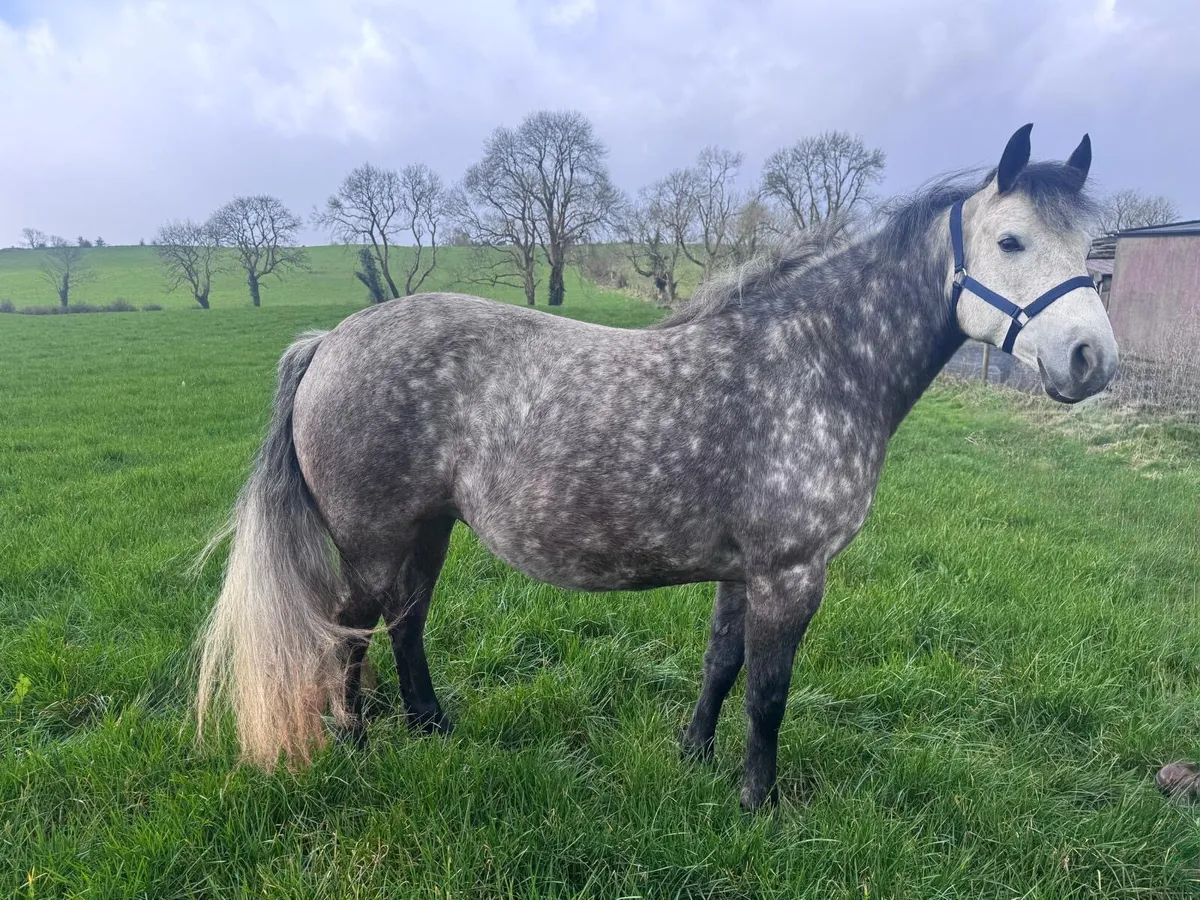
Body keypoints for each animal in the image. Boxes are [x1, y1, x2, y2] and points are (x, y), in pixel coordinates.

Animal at [196, 124, 1118, 809]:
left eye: (1091, 247)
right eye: (1010, 240)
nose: (1091, 360)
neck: (813, 365)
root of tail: (330, 342)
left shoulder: (746, 572)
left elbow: (722, 665)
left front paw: (694, 755)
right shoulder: (793, 574)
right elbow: (770, 691)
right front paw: (758, 802)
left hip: (425, 533)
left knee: (406, 623)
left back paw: (432, 727)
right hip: (374, 542)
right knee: (349, 633)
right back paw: (353, 743)